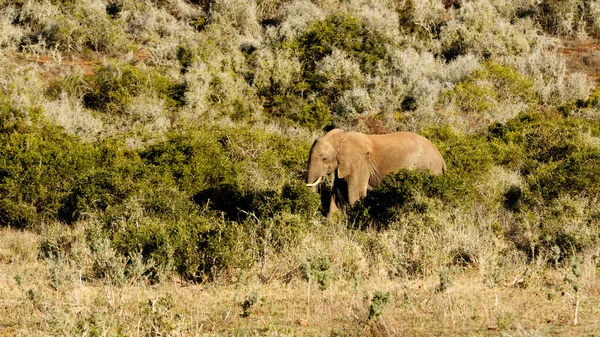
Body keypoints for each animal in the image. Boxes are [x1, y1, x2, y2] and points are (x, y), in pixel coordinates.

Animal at [310, 127, 446, 217]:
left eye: (324, 158)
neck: (342, 137)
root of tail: (442, 159)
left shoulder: (361, 165)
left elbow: (354, 194)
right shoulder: (345, 165)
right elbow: (338, 192)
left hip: (428, 169)